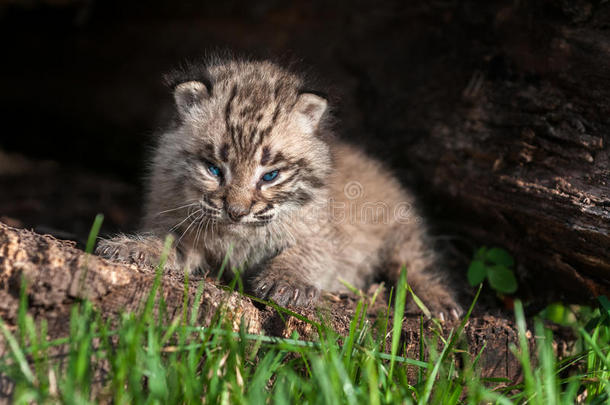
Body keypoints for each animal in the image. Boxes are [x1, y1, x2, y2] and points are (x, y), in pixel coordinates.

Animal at [97, 56, 460, 318]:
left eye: (270, 176)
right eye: (214, 169)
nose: (236, 211)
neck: (239, 235)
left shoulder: (325, 236)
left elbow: (308, 253)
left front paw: (286, 281)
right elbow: (168, 240)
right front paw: (135, 248)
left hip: (401, 226)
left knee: (414, 262)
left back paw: (436, 301)